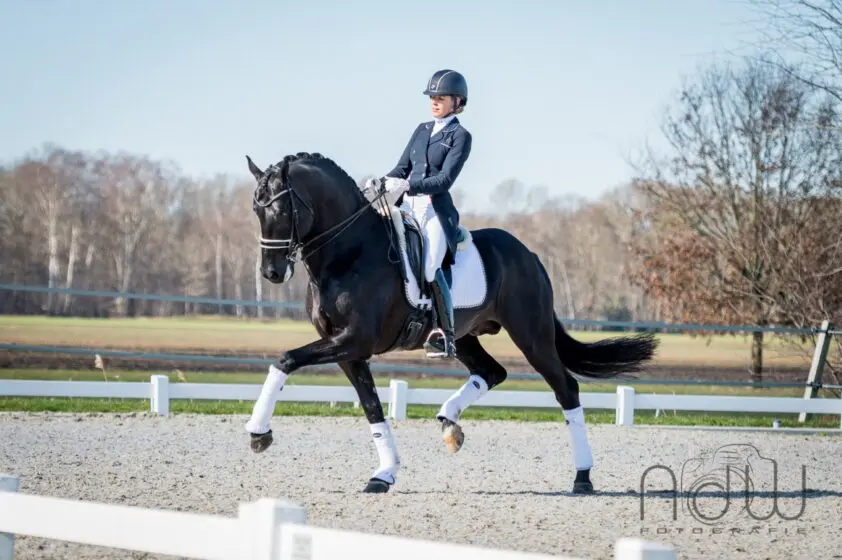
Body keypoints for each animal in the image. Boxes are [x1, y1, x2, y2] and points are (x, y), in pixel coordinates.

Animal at [243, 151, 658, 494]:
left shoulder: (354, 340)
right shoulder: (347, 350)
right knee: (491, 372)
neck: (349, 253)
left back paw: (583, 476)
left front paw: (259, 433)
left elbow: (285, 359)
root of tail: (529, 254)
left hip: (532, 336)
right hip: (466, 336)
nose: (271, 273)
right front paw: (384, 474)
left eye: (281, 211)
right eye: (256, 211)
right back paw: (449, 422)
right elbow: (371, 406)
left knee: (566, 388)